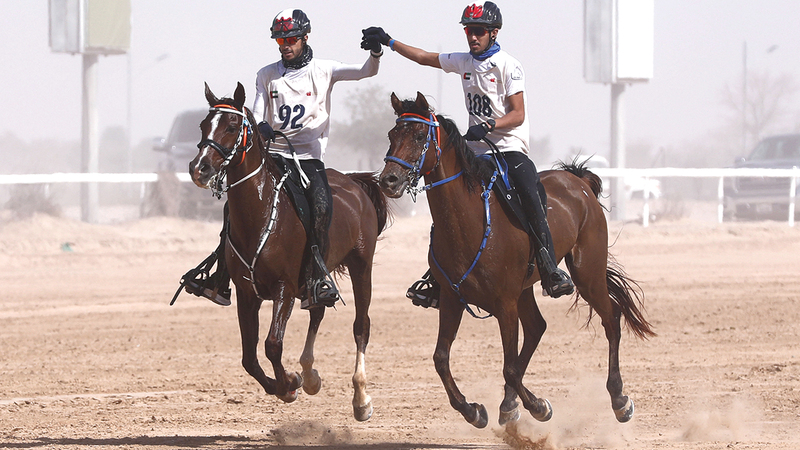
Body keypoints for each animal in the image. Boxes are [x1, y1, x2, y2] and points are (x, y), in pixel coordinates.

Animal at [188, 81, 388, 422]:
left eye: (232, 126)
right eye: (203, 124)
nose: (199, 167)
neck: (261, 211)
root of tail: (354, 183)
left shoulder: (284, 288)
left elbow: (272, 344)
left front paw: (289, 383)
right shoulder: (247, 293)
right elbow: (248, 356)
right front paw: (288, 384)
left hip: (362, 266)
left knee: (361, 326)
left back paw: (361, 399)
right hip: (316, 278)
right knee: (318, 310)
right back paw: (310, 376)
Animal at [378, 92, 652, 428]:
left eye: (419, 136)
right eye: (392, 135)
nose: (389, 180)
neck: (469, 222)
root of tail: (577, 181)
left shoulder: (505, 304)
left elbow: (508, 367)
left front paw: (537, 405)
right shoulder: (453, 300)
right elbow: (441, 358)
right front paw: (474, 410)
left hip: (587, 272)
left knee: (610, 319)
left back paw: (619, 399)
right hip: (526, 289)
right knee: (536, 328)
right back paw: (510, 403)